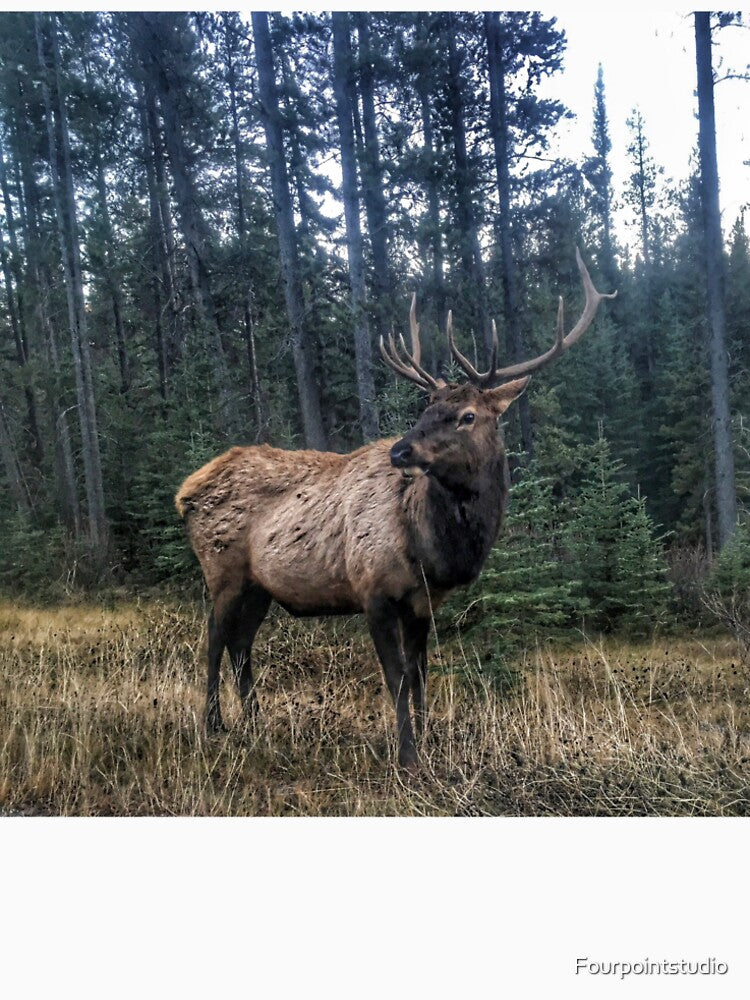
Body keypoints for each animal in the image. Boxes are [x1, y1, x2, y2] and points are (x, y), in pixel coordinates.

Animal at [175, 250, 615, 770]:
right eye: (425, 407)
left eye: (467, 415)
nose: (400, 451)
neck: (433, 549)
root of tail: (185, 492)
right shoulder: (374, 591)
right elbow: (397, 677)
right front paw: (407, 756)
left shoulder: (423, 602)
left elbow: (421, 673)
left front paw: (429, 741)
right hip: (222, 568)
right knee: (214, 639)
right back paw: (213, 724)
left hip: (260, 585)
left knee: (242, 643)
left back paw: (256, 722)